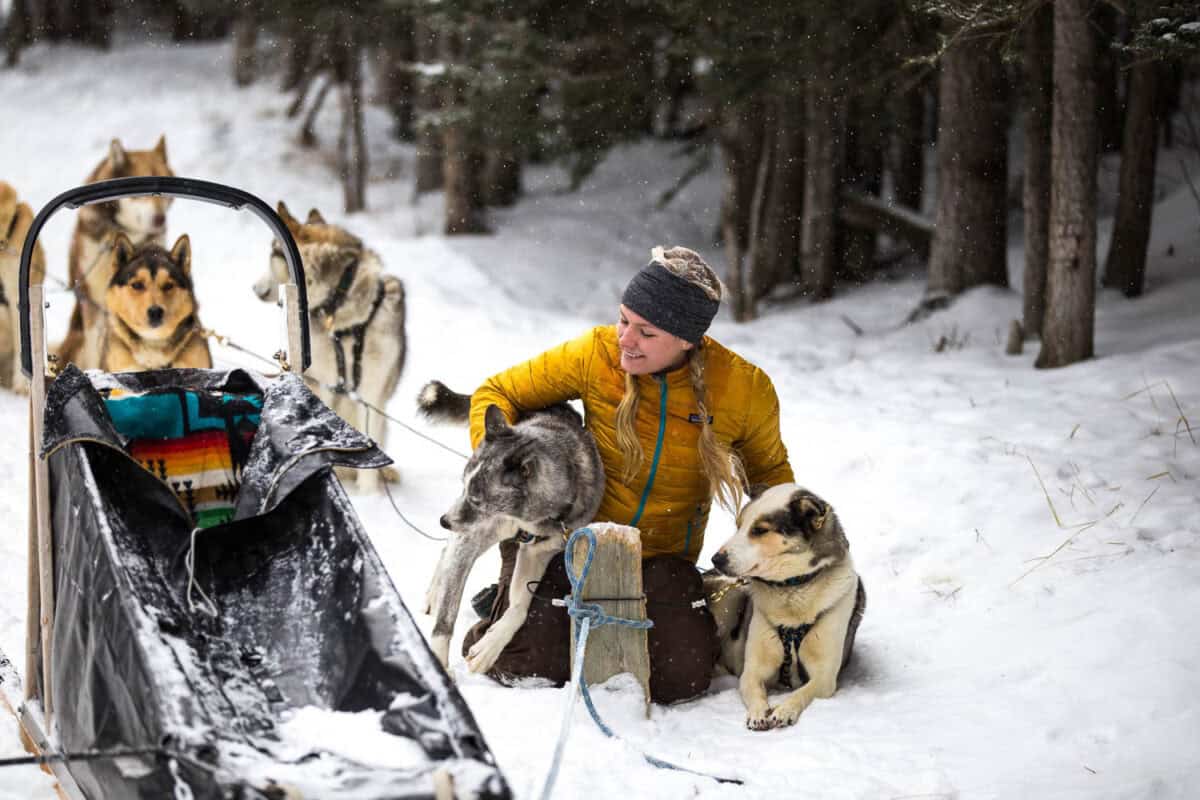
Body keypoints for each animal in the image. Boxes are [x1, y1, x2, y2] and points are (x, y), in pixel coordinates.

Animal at [417, 381, 604, 676]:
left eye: (476, 499)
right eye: (464, 487)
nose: (443, 520)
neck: (519, 517)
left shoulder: (537, 551)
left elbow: (519, 606)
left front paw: (490, 646)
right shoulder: (472, 535)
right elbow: (446, 616)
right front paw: (436, 661)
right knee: (448, 553)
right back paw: (434, 592)